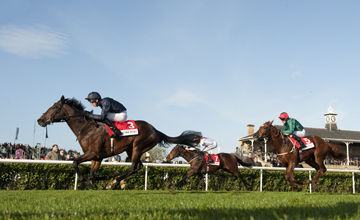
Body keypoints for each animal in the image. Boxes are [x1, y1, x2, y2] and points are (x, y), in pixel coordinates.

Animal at [37, 96, 201, 189]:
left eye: (54, 107)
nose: (40, 120)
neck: (86, 127)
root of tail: (156, 130)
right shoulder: (98, 157)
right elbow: (93, 175)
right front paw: (106, 176)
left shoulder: (92, 153)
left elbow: (75, 163)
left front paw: (89, 181)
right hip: (131, 149)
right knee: (138, 166)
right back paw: (114, 180)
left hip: (138, 146)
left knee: (134, 167)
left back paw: (114, 182)